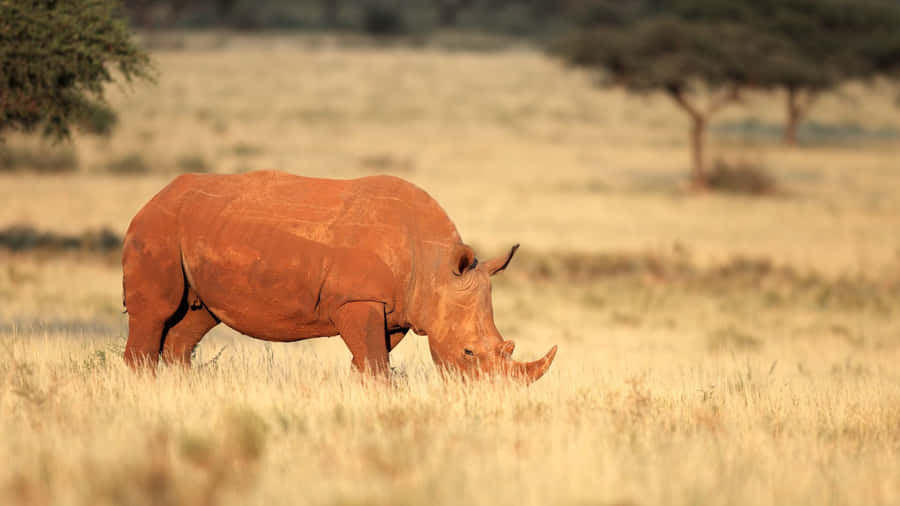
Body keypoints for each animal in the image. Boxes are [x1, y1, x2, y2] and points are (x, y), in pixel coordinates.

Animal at [122, 170, 557, 383]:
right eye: (468, 353)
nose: (492, 395)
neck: (435, 268)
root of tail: (152, 199)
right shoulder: (358, 299)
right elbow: (375, 361)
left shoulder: (396, 310)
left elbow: (370, 358)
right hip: (157, 230)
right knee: (157, 314)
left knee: (193, 321)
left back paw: (181, 390)